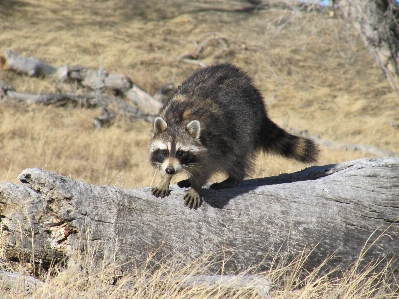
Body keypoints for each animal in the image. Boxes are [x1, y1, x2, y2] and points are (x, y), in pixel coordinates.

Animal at [148, 63, 320, 210]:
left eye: (181, 153)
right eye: (164, 151)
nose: (170, 170)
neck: (179, 120)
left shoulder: (214, 143)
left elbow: (207, 167)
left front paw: (196, 186)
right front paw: (165, 179)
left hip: (245, 126)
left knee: (237, 156)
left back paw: (234, 177)